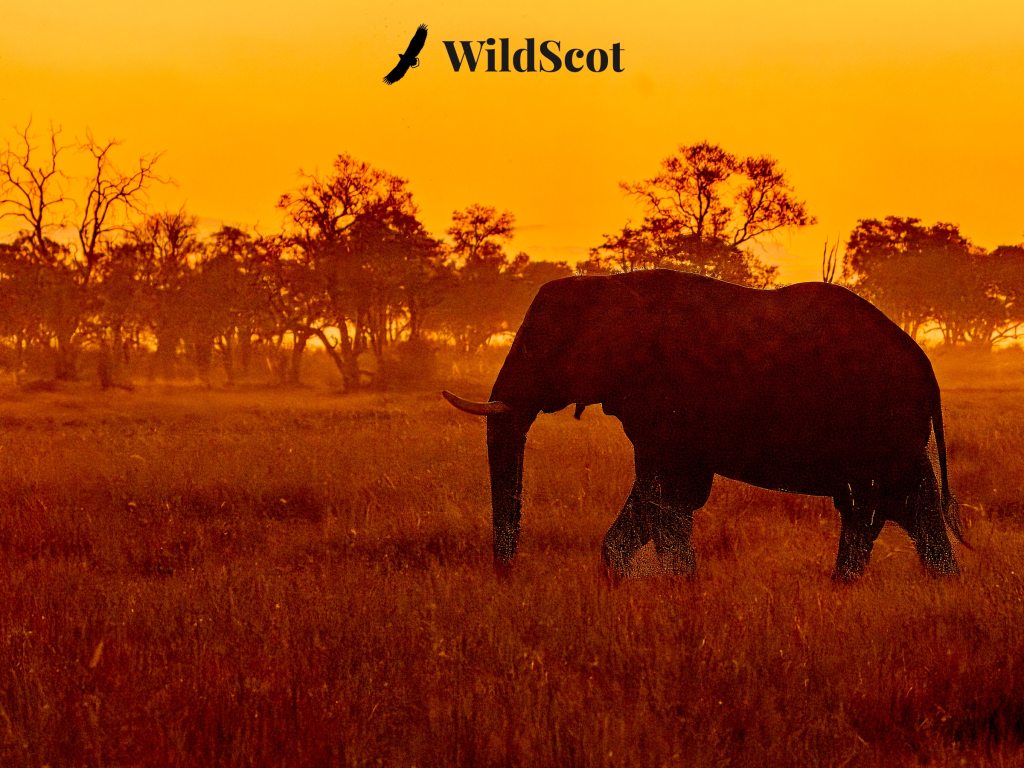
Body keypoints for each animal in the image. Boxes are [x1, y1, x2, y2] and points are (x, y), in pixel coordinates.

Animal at [443, 269, 968, 582]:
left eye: (537, 347)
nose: (507, 573)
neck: (608, 285)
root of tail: (927, 366)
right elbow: (666, 496)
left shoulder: (667, 399)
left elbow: (666, 493)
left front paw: (680, 587)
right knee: (902, 506)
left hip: (881, 423)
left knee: (876, 506)